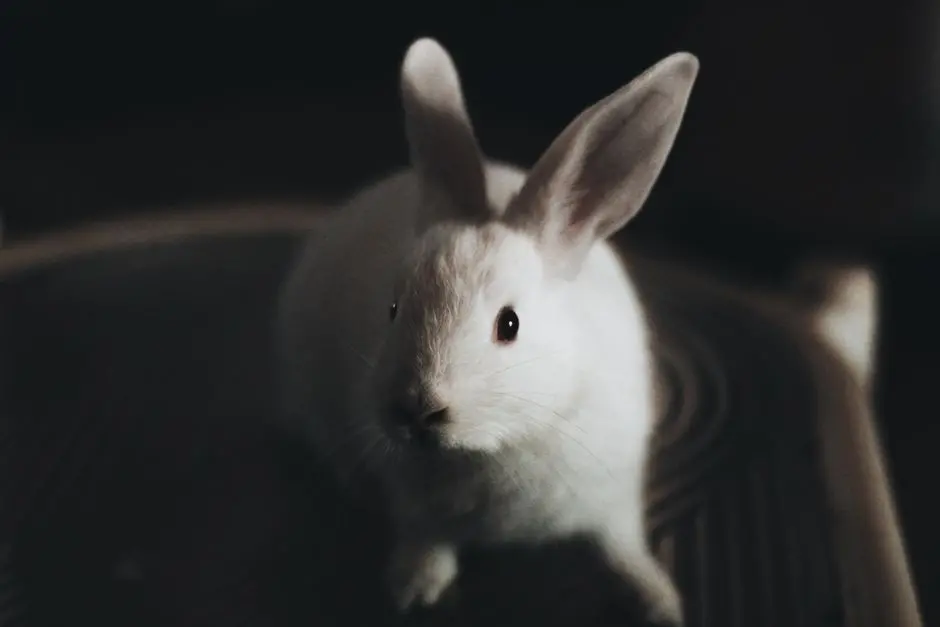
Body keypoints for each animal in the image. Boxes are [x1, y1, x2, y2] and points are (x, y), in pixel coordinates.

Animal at [276, 38, 699, 626]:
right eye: (393, 308)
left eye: (509, 324)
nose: (416, 410)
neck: (499, 442)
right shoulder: (414, 506)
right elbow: (425, 539)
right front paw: (415, 589)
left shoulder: (612, 497)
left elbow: (623, 547)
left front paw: (660, 602)